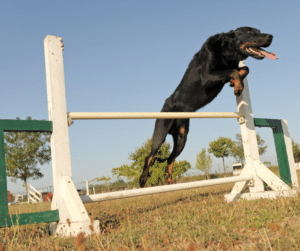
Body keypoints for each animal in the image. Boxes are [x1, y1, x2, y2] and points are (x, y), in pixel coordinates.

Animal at [139, 27, 278, 188]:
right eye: (250, 32)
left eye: (259, 31)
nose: (271, 36)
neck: (226, 50)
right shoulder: (207, 76)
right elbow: (233, 71)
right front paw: (238, 86)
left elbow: (244, 69)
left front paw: (235, 84)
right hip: (161, 130)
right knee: (149, 156)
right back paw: (143, 179)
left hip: (181, 138)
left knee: (170, 159)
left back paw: (169, 182)